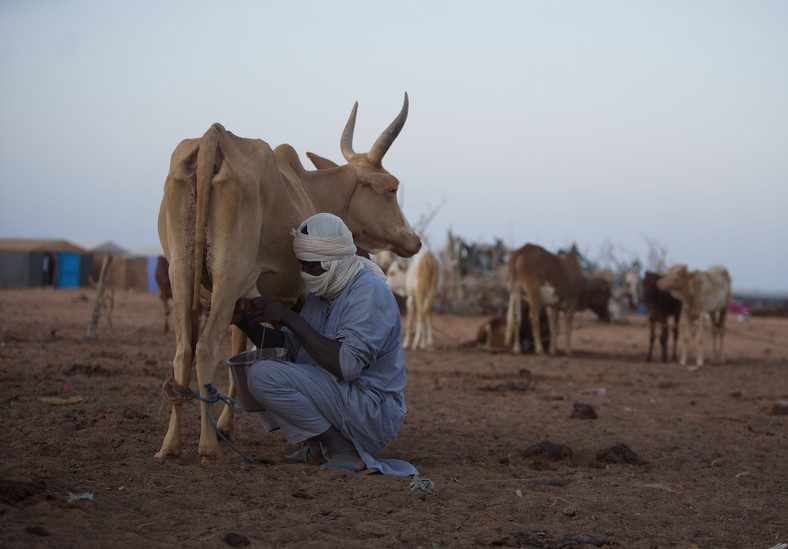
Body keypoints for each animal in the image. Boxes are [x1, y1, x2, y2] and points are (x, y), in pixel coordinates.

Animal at [156, 93, 422, 458]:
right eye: (392, 188)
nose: (415, 241)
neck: (310, 189)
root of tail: (213, 138)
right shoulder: (292, 295)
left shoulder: (245, 299)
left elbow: (241, 350)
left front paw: (227, 425)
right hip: (228, 275)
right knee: (206, 348)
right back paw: (208, 446)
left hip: (182, 273)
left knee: (183, 350)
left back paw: (170, 444)